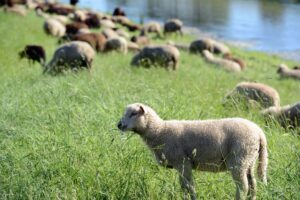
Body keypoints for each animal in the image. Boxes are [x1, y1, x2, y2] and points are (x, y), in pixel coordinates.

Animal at [116, 103, 268, 200]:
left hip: (239, 160)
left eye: (134, 113)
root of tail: (259, 132)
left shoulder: (183, 162)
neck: (159, 131)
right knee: (253, 185)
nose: (119, 125)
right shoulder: (180, 165)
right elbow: (184, 186)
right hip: (249, 160)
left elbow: (190, 187)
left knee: (243, 187)